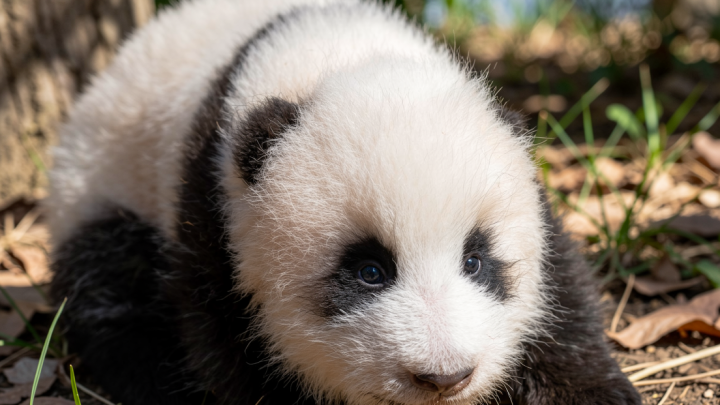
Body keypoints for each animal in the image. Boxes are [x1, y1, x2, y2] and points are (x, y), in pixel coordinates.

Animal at [47, 0, 641, 404]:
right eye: (369, 271)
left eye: (475, 261)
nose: (444, 376)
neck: (339, 58)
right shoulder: (212, 206)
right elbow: (227, 341)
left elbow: (563, 291)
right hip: (104, 182)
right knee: (111, 285)